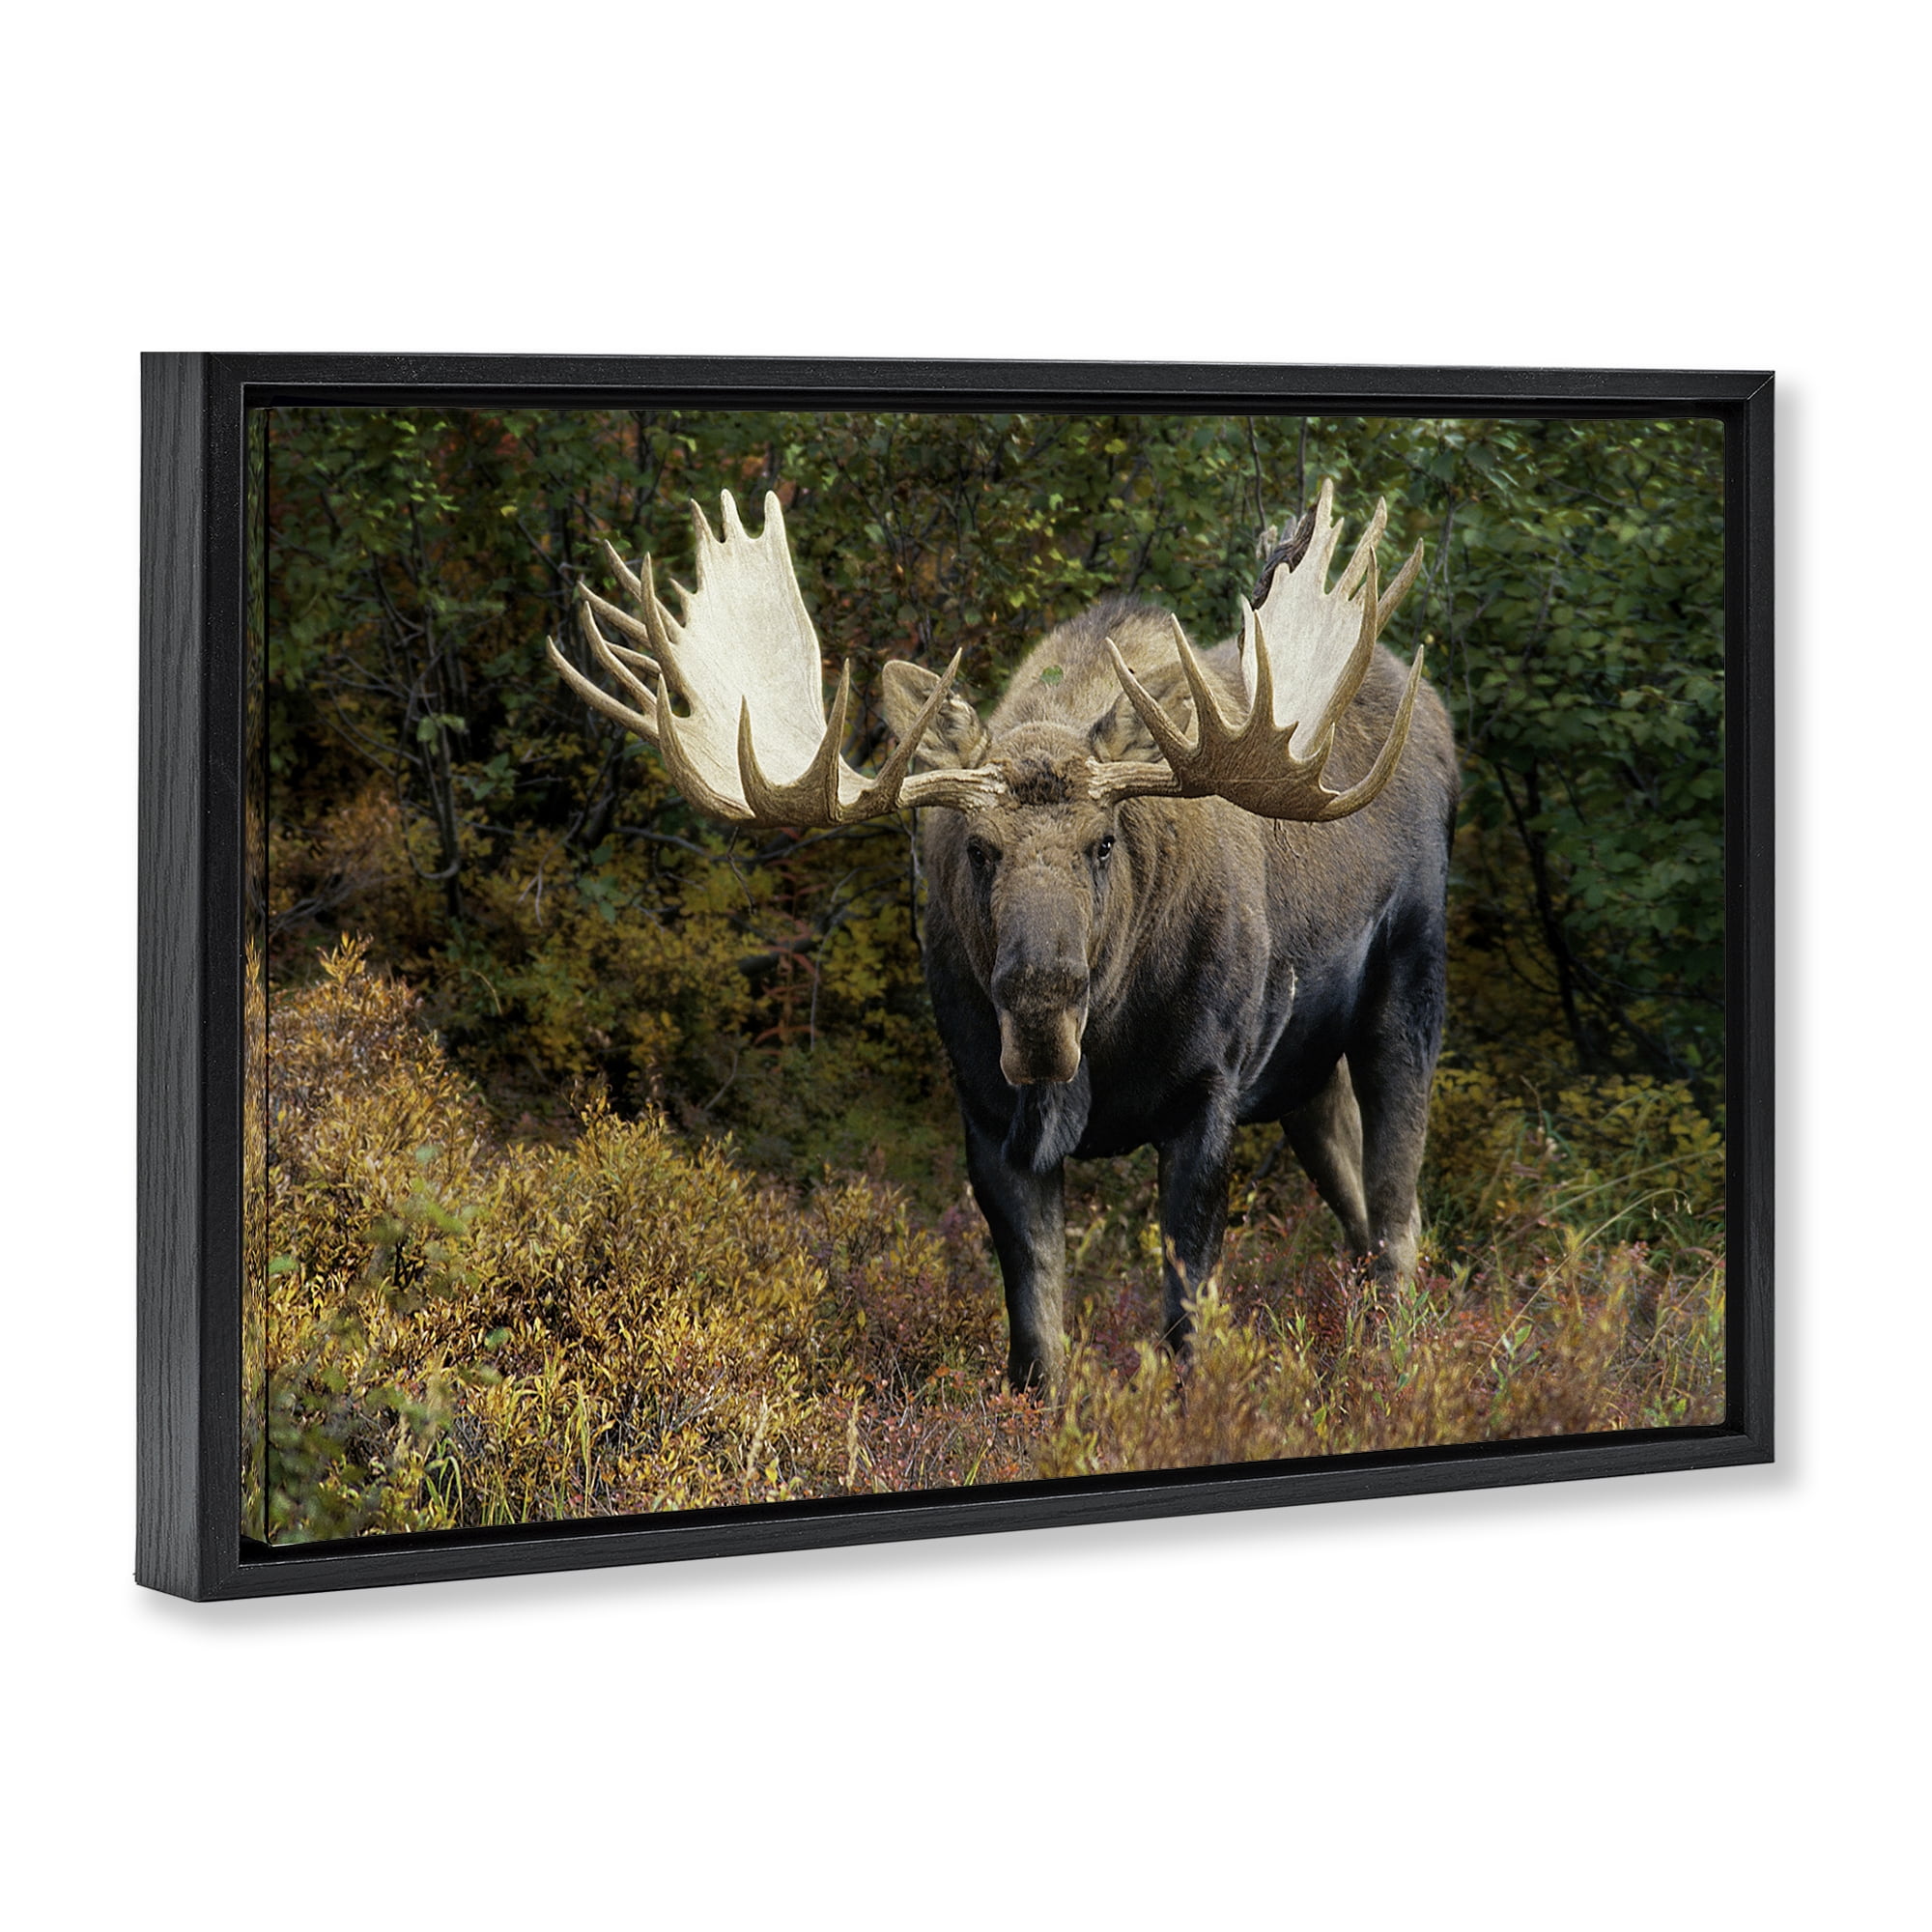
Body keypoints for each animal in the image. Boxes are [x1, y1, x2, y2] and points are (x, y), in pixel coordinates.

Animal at [548, 483, 1457, 1391]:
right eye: (979, 849)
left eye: (1104, 842)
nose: (1039, 1010)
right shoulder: (988, 1117)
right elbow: (1035, 1343)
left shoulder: (1209, 1092)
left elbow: (1187, 1321)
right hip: (1305, 1072)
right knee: (1358, 1204)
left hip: (1408, 985)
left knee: (1397, 1215)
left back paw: (1397, 1364)